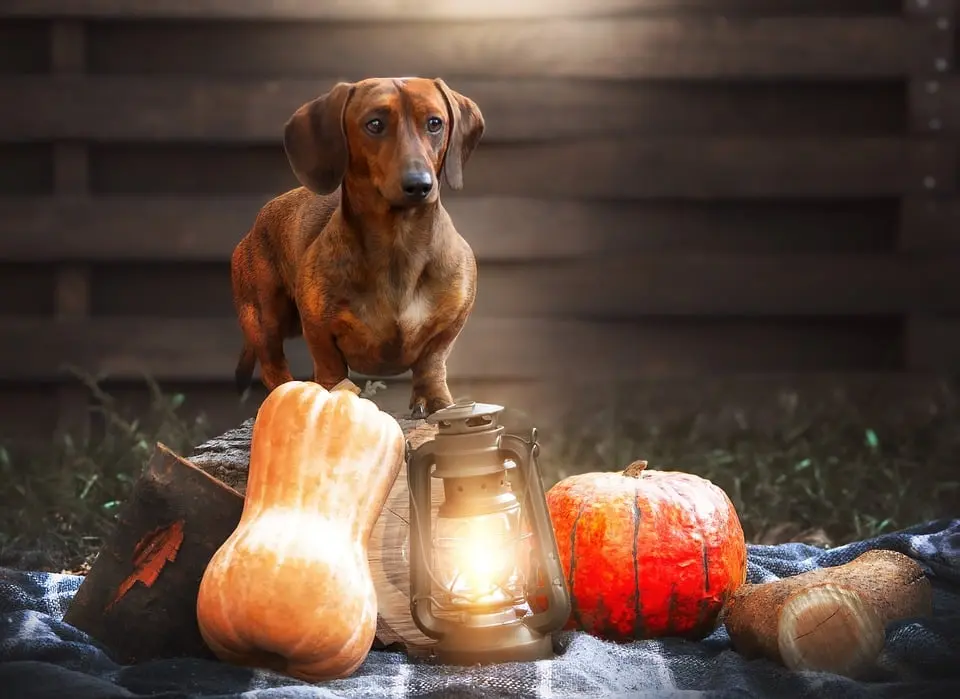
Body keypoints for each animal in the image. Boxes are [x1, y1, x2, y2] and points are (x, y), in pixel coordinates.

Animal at [230, 78, 484, 416]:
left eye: (434, 123)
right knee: (274, 369)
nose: (419, 184)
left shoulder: (450, 324)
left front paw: (435, 401)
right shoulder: (319, 331)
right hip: (263, 317)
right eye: (374, 124)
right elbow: (331, 370)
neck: (398, 244)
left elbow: (431, 364)